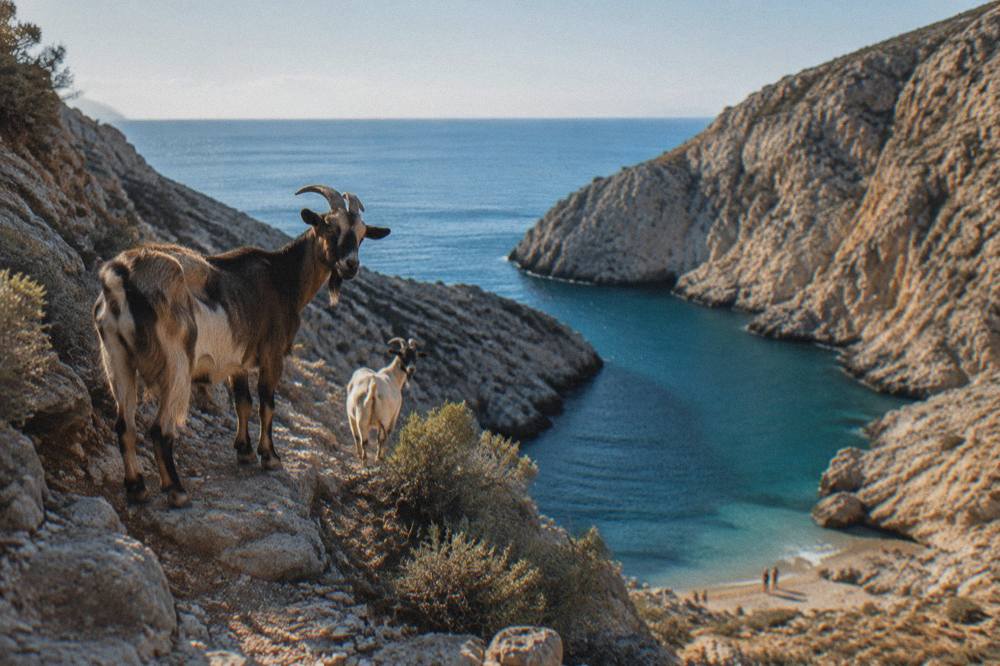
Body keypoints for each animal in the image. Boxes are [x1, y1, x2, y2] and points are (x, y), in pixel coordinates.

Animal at [93, 185, 390, 507]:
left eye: (362, 234)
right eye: (329, 226)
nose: (351, 266)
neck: (282, 278)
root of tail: (122, 277)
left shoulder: (237, 360)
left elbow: (243, 403)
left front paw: (244, 451)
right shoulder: (273, 354)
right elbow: (267, 405)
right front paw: (270, 457)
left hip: (116, 357)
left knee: (124, 425)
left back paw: (136, 487)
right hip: (176, 364)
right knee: (160, 429)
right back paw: (176, 490)